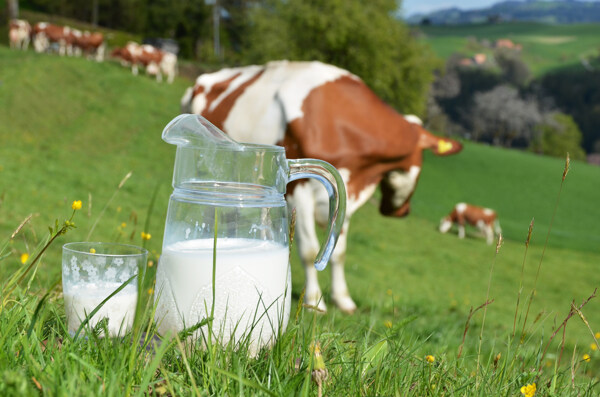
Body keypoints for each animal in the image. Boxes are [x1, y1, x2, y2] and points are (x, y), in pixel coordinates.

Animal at [180, 60, 462, 312]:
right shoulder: (299, 191)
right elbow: (309, 251)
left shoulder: (346, 193)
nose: (403, 212)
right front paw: (315, 302)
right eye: (422, 160)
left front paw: (343, 300)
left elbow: (338, 251)